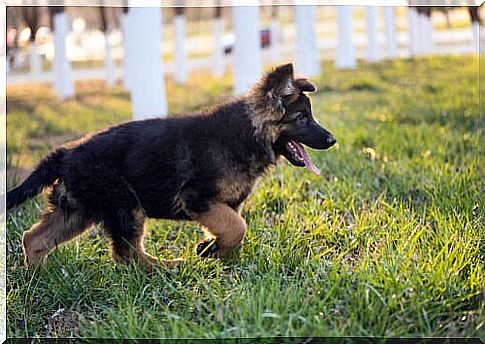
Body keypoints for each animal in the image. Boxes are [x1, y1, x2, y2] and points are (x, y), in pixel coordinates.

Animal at [5, 63, 334, 270]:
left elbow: (233, 229)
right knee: (127, 254)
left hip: (79, 211)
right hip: (125, 205)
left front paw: (214, 250)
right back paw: (167, 268)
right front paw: (212, 249)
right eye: (302, 118)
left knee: (33, 238)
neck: (246, 135)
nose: (332, 140)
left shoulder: (225, 204)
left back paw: (38, 278)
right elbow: (237, 227)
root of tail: (66, 152)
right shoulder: (197, 198)